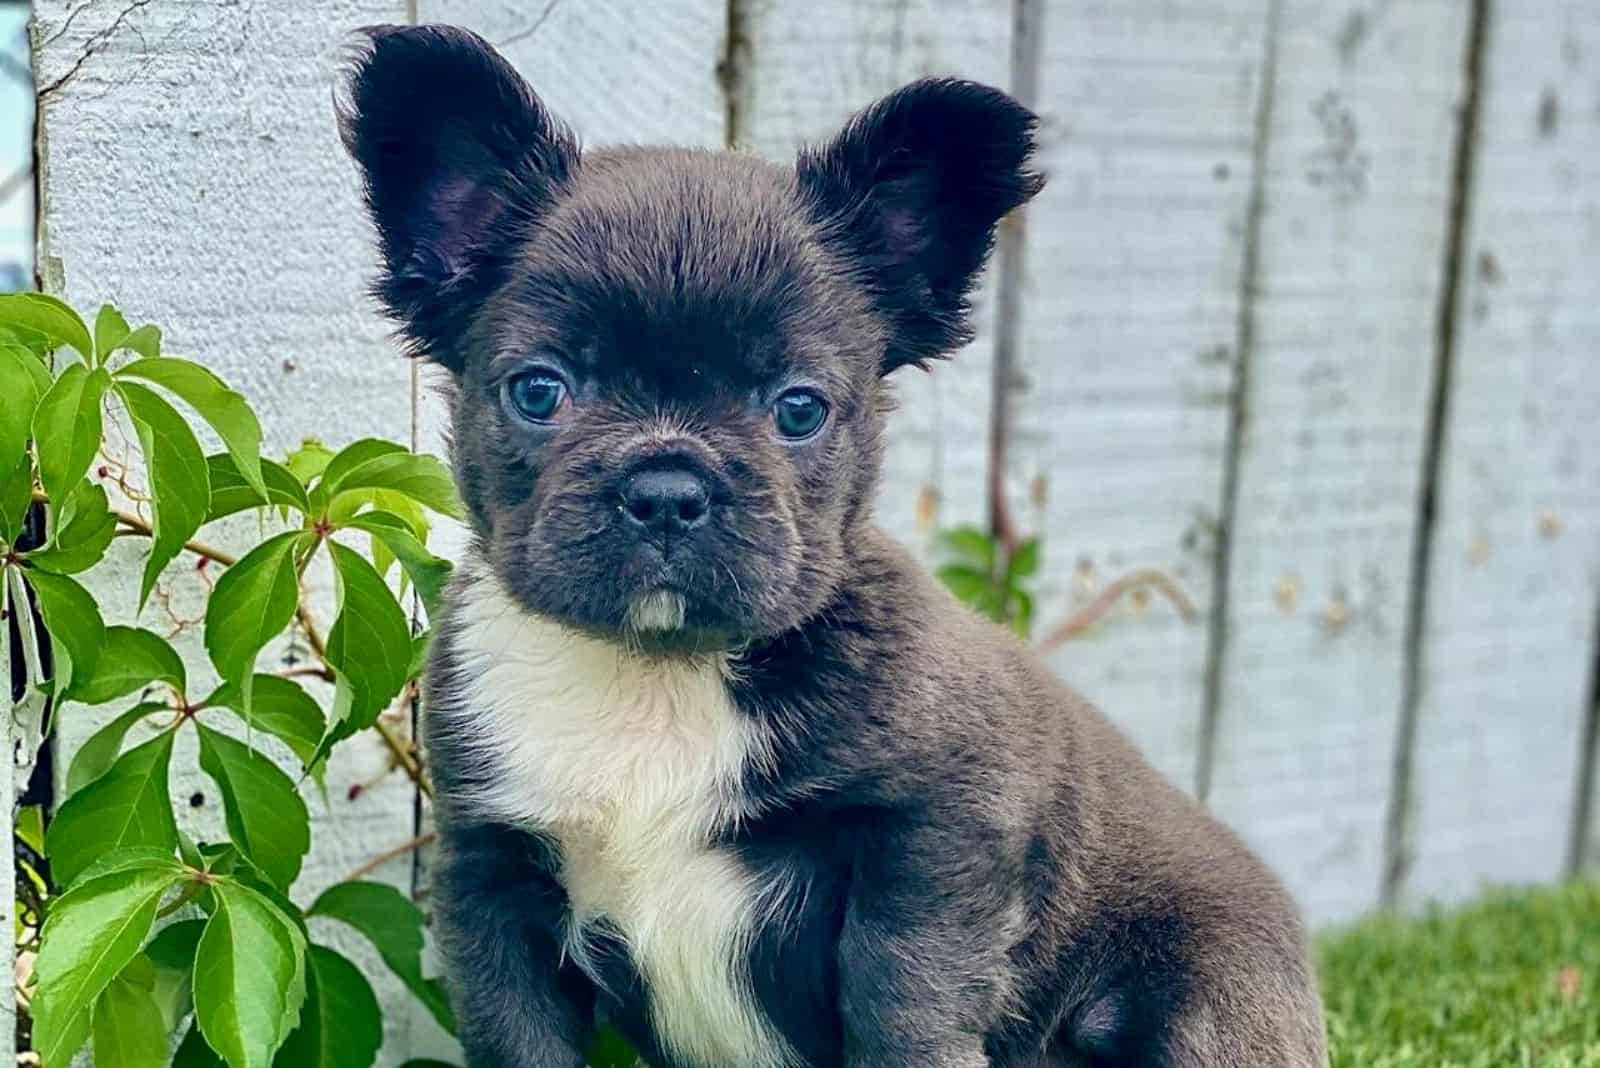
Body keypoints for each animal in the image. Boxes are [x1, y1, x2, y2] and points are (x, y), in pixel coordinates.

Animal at [337, 22, 1324, 1068]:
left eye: (800, 410)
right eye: (538, 391)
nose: (667, 489)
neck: (656, 672)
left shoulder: (937, 842)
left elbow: (904, 1006)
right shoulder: (493, 884)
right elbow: (523, 1038)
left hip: (1205, 998)